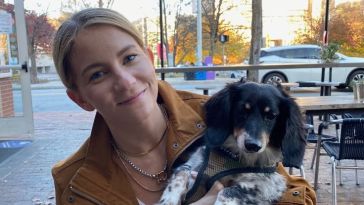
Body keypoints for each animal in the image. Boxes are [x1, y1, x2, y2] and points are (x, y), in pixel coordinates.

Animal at [159, 80, 308, 205]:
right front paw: (168, 200)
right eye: (242, 110)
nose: (253, 146)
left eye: (271, 116)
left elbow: (228, 191)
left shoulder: (269, 186)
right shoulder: (196, 164)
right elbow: (181, 173)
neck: (236, 156)